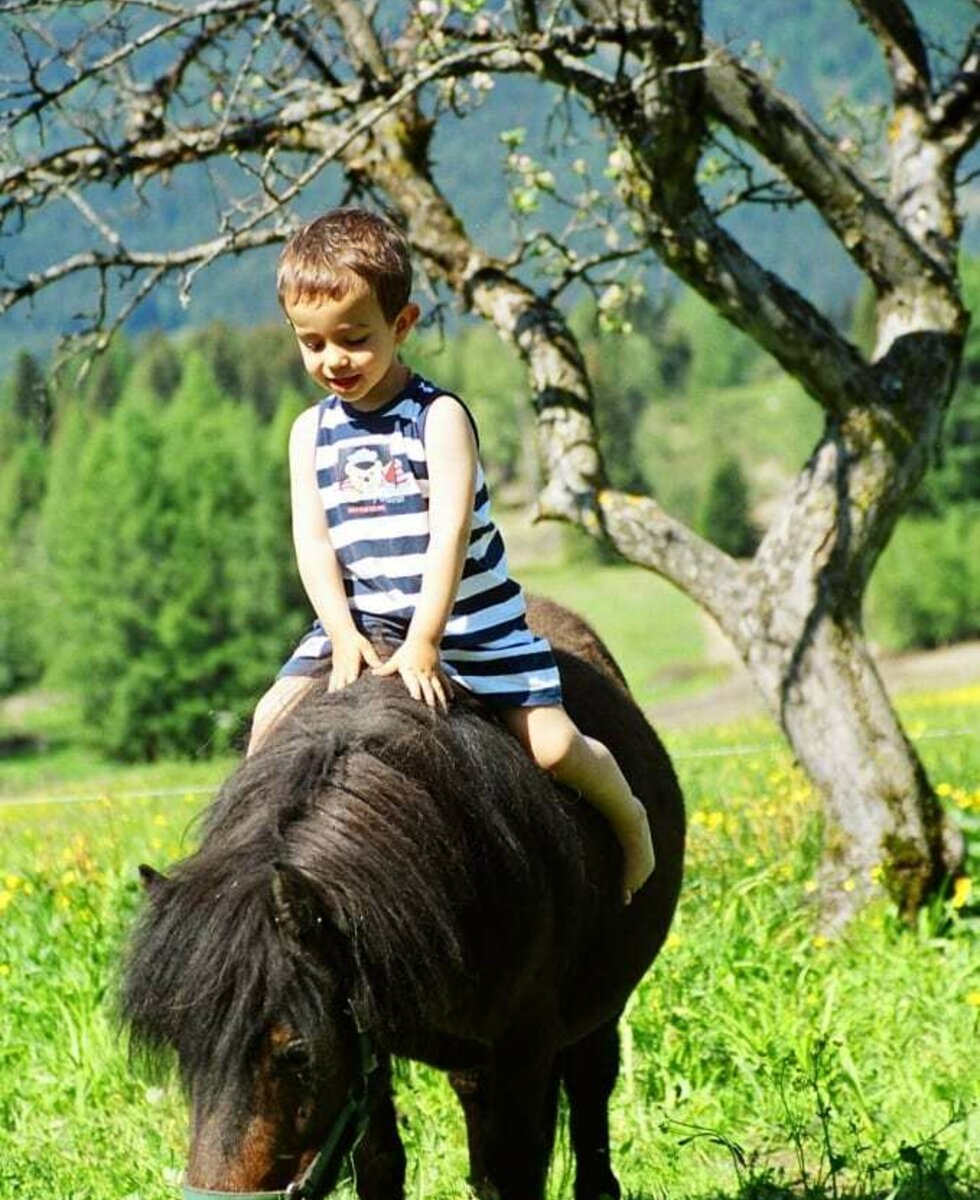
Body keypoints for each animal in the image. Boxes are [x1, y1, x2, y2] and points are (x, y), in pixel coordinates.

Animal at [120, 600, 681, 1200]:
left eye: (297, 1052)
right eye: (183, 1047)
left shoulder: (524, 1049)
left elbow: (515, 1168)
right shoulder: (367, 1040)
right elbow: (380, 1161)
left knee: (592, 1083)